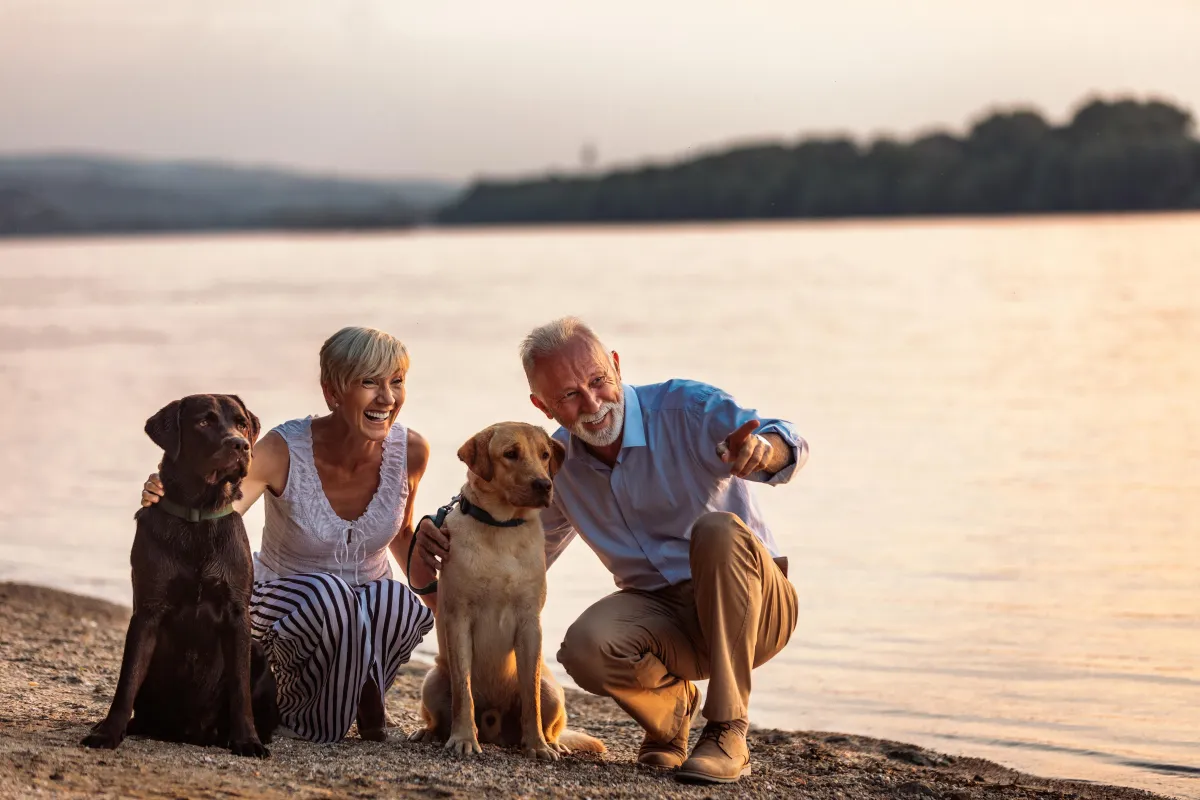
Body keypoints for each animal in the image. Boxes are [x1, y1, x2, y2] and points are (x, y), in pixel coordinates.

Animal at [81, 398, 276, 762]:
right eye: (203, 422)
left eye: (242, 424)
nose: (240, 445)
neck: (197, 516)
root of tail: (188, 733)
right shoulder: (147, 611)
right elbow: (127, 681)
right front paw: (108, 732)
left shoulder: (236, 614)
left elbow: (240, 688)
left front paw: (247, 740)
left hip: (257, 653)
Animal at [410, 422, 604, 762]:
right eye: (511, 454)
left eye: (544, 454)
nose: (544, 484)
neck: (501, 527)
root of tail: (495, 729)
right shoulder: (458, 619)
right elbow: (463, 692)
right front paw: (463, 738)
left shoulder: (529, 623)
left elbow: (531, 698)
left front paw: (537, 745)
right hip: (432, 681)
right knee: (440, 716)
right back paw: (429, 733)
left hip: (553, 691)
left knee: (548, 714)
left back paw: (553, 742)